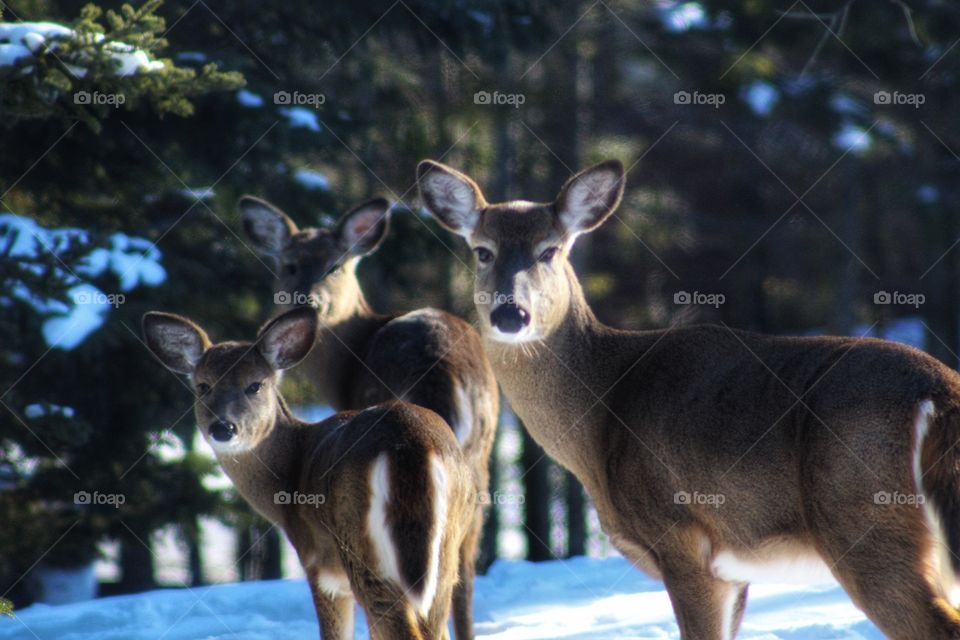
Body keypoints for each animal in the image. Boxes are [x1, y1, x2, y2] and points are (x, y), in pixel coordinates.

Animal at [142, 306, 473, 640]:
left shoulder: (319, 566)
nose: (223, 428)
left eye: (255, 384)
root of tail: (412, 445)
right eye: (203, 386)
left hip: (363, 551)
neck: (291, 474)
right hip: (445, 553)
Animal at [238, 195, 499, 640]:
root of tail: (441, 368)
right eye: (289, 265)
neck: (347, 360)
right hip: (480, 453)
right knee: (462, 570)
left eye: (335, 265)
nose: (308, 300)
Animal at [417, 158, 960, 639]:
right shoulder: (734, 570)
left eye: (549, 250)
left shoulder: (683, 537)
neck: (600, 418)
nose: (511, 315)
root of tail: (939, 393)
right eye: (483, 251)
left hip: (865, 521)